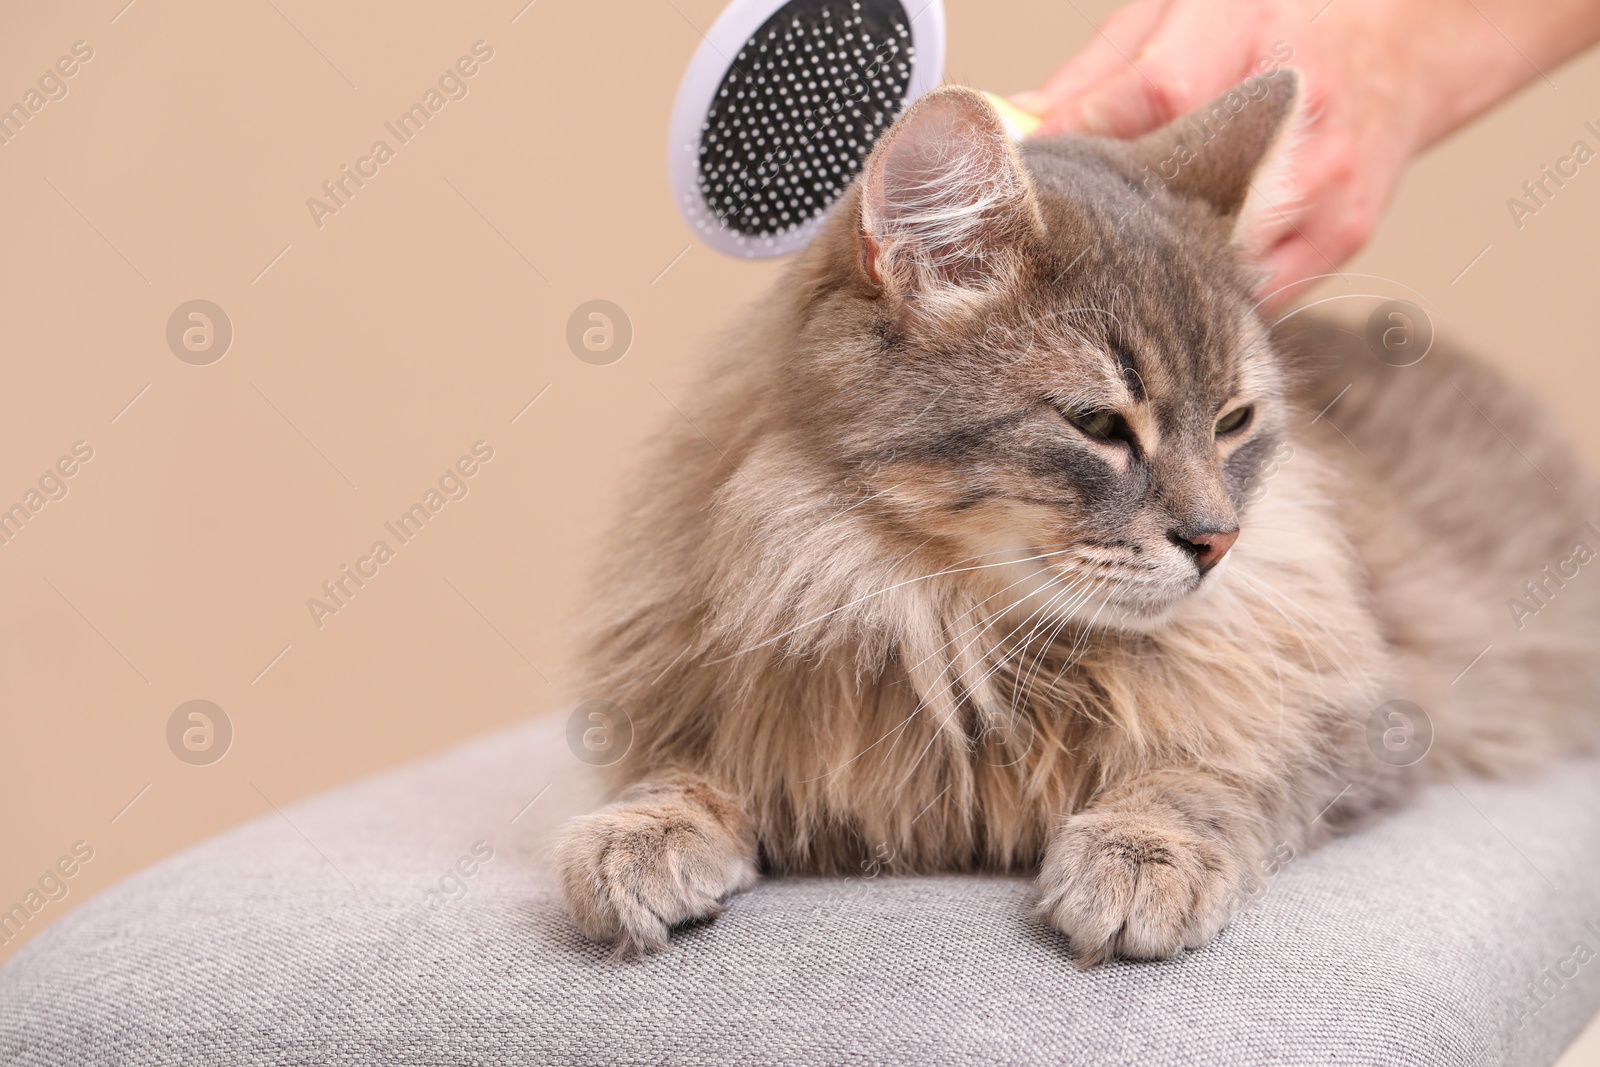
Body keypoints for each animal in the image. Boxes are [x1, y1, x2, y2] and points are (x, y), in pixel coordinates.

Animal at [553, 68, 1600, 966]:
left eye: (1233, 422)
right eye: (1099, 425)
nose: (1218, 541)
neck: (961, 632)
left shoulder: (1362, 720)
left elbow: (1208, 767)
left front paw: (1139, 856)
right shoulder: (728, 697)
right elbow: (690, 769)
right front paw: (636, 836)